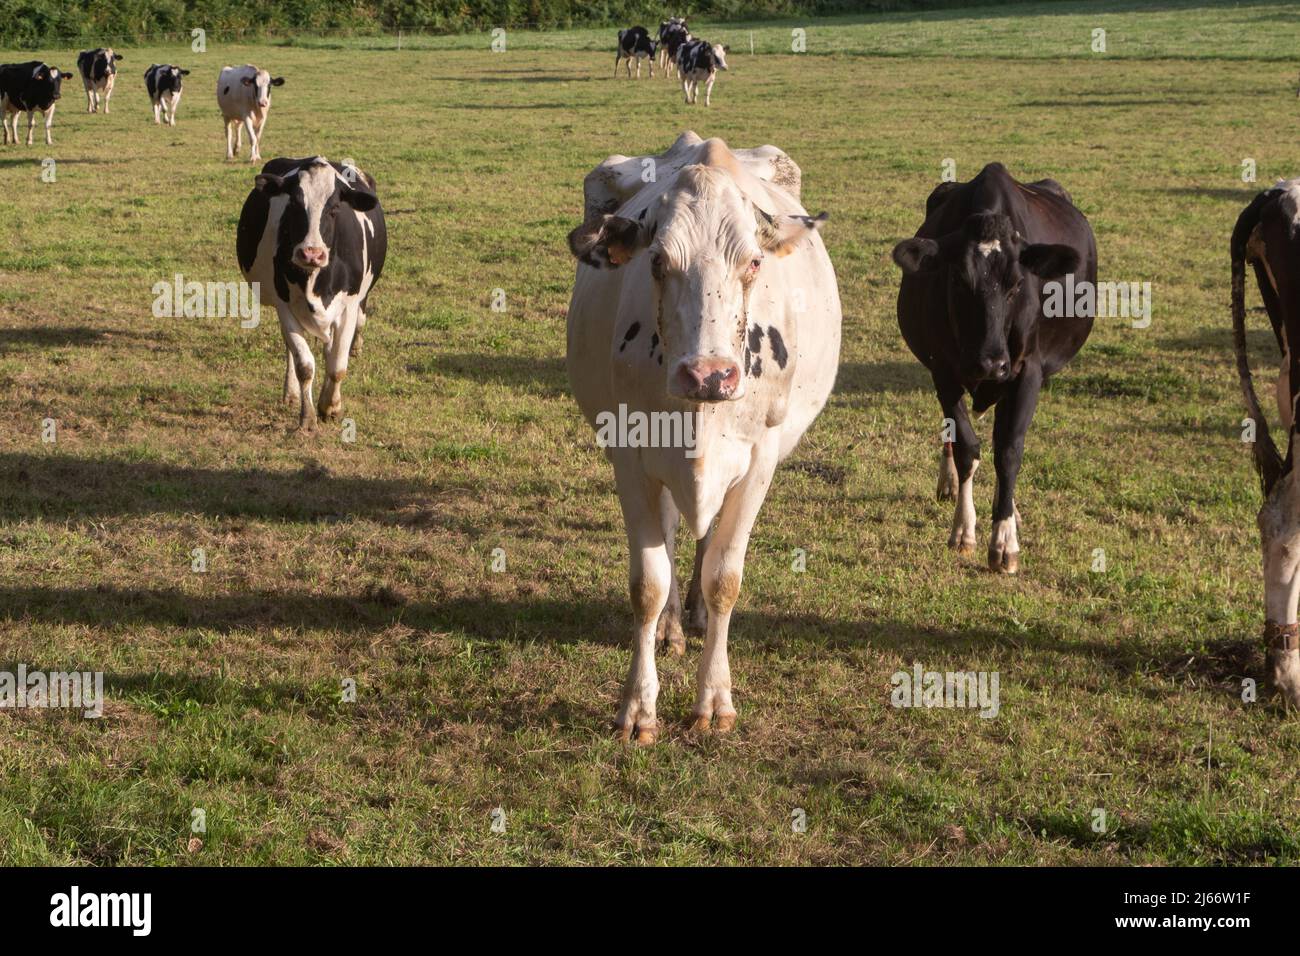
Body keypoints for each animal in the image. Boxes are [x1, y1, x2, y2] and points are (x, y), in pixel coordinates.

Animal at [236, 157, 386, 431]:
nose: (311, 253)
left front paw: (330, 407)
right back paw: (291, 393)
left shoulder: (349, 306)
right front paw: (307, 418)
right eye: (294, 204)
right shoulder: (284, 306)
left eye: (335, 207)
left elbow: (337, 365)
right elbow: (304, 365)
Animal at [566, 131, 841, 743]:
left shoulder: (759, 458)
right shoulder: (629, 453)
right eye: (658, 260)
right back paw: (671, 624)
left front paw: (714, 700)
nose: (709, 376)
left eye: (754, 261)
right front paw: (638, 708)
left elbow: (723, 577)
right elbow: (647, 582)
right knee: (672, 535)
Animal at [891, 162, 1096, 575]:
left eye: (1017, 285)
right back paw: (950, 482)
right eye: (957, 280)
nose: (990, 362)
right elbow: (966, 446)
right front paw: (964, 530)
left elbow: (1009, 451)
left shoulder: (1027, 373)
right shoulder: (944, 371)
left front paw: (1004, 539)